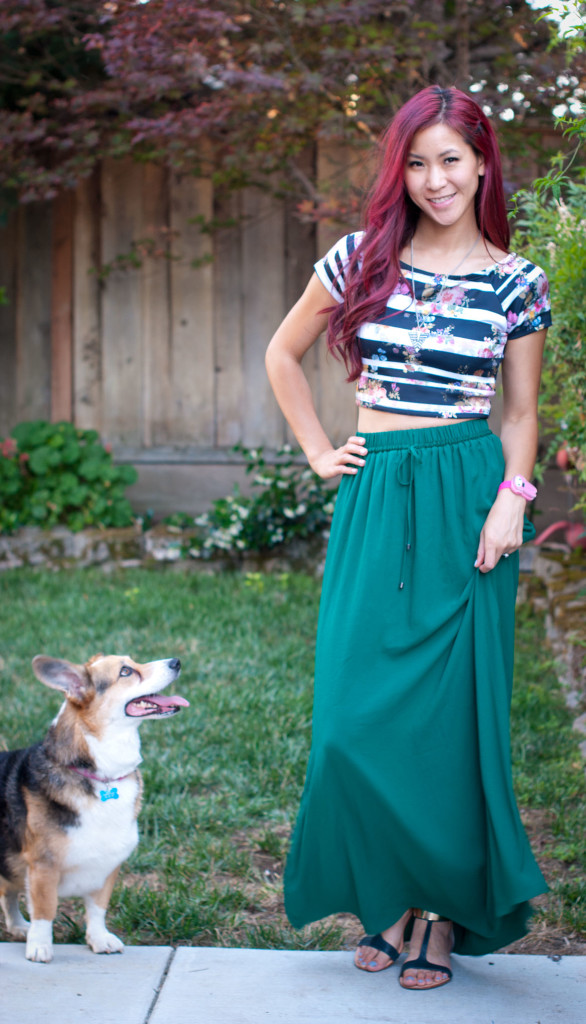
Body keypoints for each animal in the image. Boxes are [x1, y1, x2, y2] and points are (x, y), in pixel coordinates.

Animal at [0, 655, 187, 958]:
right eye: (126, 671)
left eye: (133, 661)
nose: (176, 661)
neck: (101, 772)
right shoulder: (43, 866)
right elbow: (45, 910)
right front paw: (40, 947)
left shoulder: (108, 864)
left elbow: (98, 908)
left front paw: (99, 940)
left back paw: (18, 927)